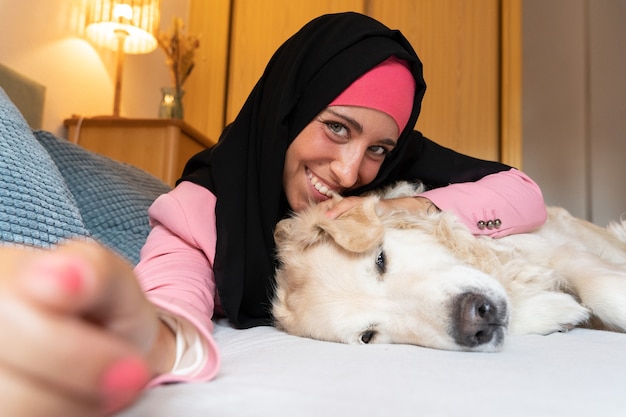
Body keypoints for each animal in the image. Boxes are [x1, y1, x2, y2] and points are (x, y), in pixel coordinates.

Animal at [272, 182, 624, 352]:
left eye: (380, 260)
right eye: (368, 336)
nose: (474, 319)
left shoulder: (556, 246)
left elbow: (602, 290)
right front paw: (557, 311)